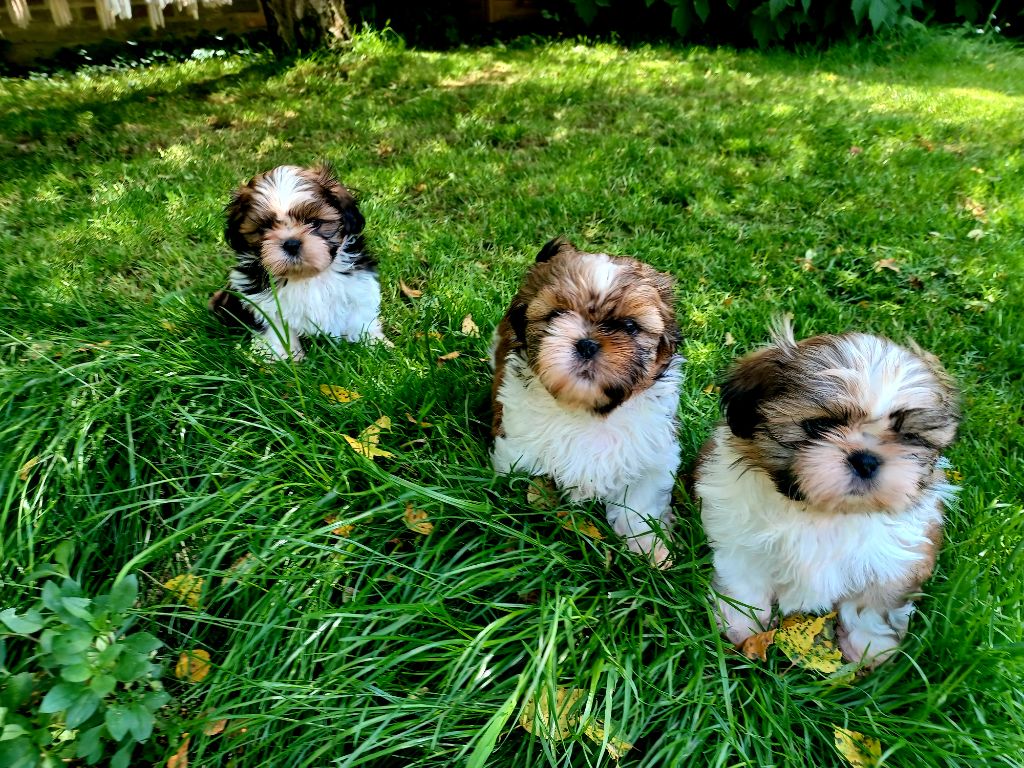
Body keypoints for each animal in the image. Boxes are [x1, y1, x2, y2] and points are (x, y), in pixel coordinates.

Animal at [207, 162, 385, 360]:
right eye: (264, 228)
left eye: (314, 223)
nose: (291, 243)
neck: (305, 276)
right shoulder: (263, 303)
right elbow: (276, 330)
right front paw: (282, 357)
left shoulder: (358, 285)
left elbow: (360, 316)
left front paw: (372, 344)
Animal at [491, 237, 684, 569]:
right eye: (556, 315)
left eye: (630, 326)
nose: (587, 343)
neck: (586, 412)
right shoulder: (516, 452)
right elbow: (530, 486)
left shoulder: (654, 455)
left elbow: (640, 502)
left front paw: (648, 544)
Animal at [696, 319, 958, 667]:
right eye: (820, 426)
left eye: (909, 437)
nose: (866, 459)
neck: (823, 512)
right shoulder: (739, 538)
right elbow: (745, 579)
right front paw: (744, 623)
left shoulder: (898, 558)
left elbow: (873, 603)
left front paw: (869, 644)